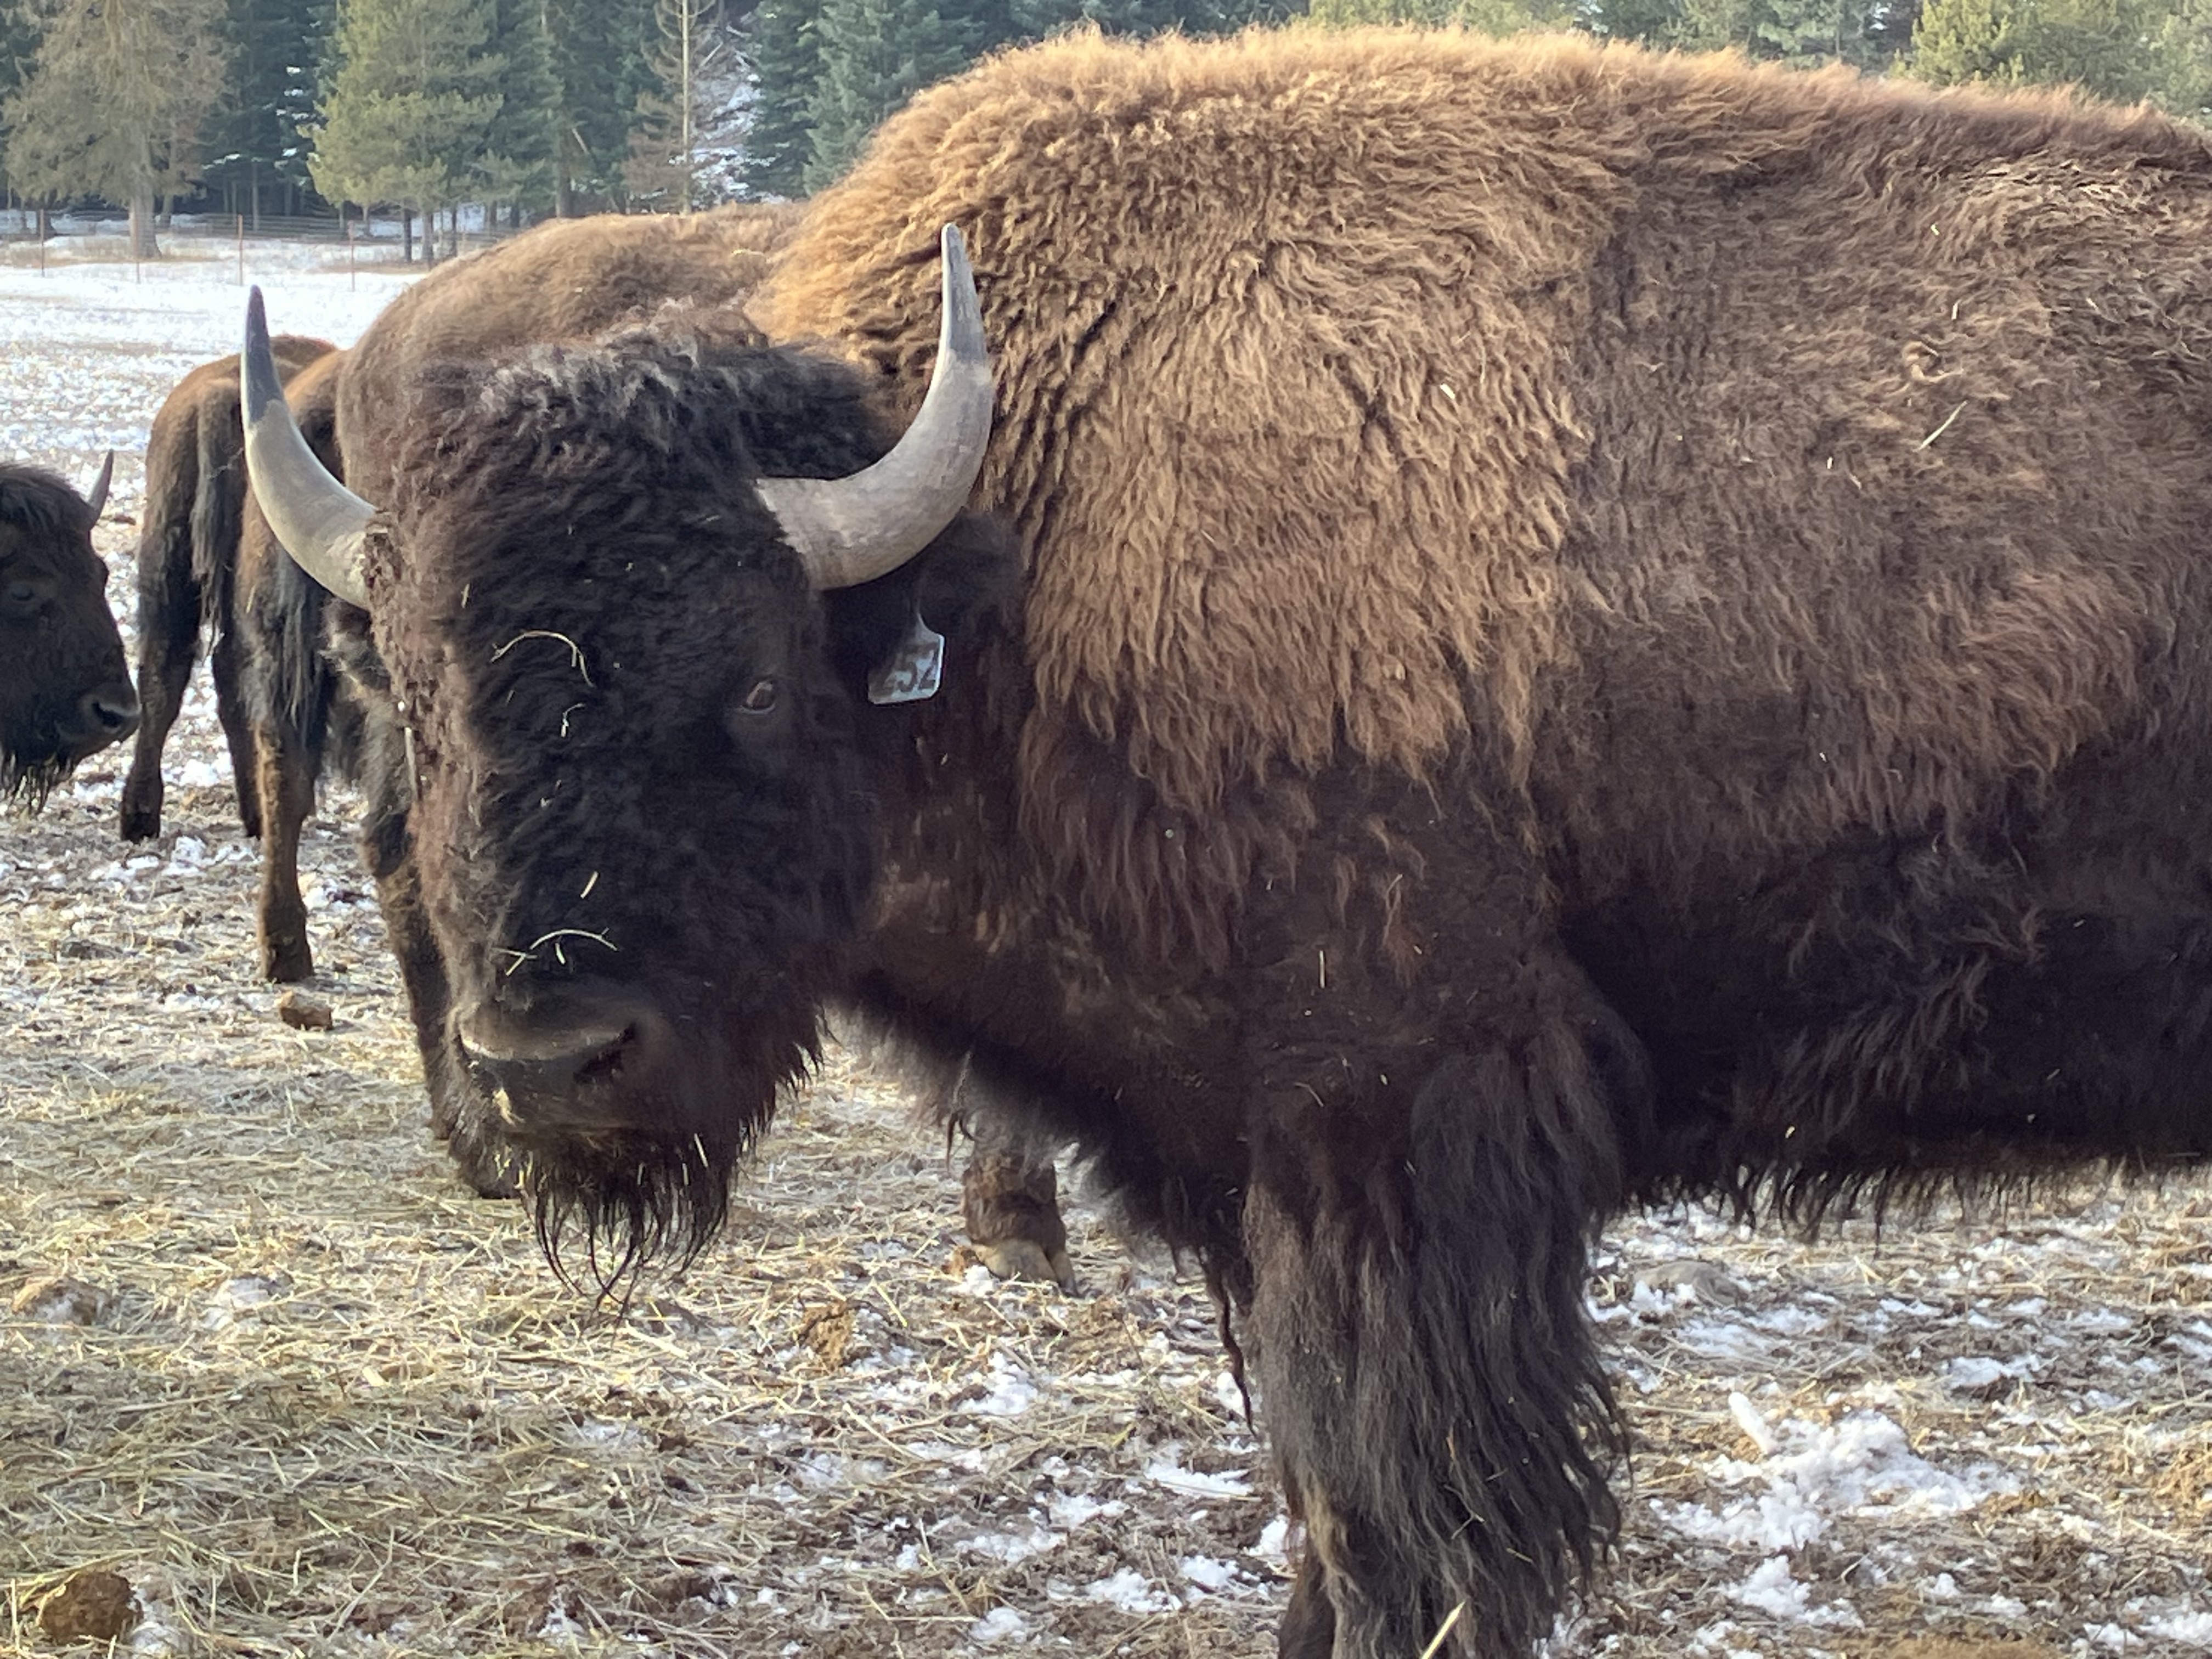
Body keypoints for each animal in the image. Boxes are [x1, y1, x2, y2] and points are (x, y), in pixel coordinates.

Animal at [244, 30, 2212, 1658]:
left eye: (750, 674)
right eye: (414, 686)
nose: (548, 1061)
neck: (1017, 544)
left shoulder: (1398, 1139)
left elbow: (1408, 1525)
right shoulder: (1262, 1170)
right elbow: (1326, 1501)